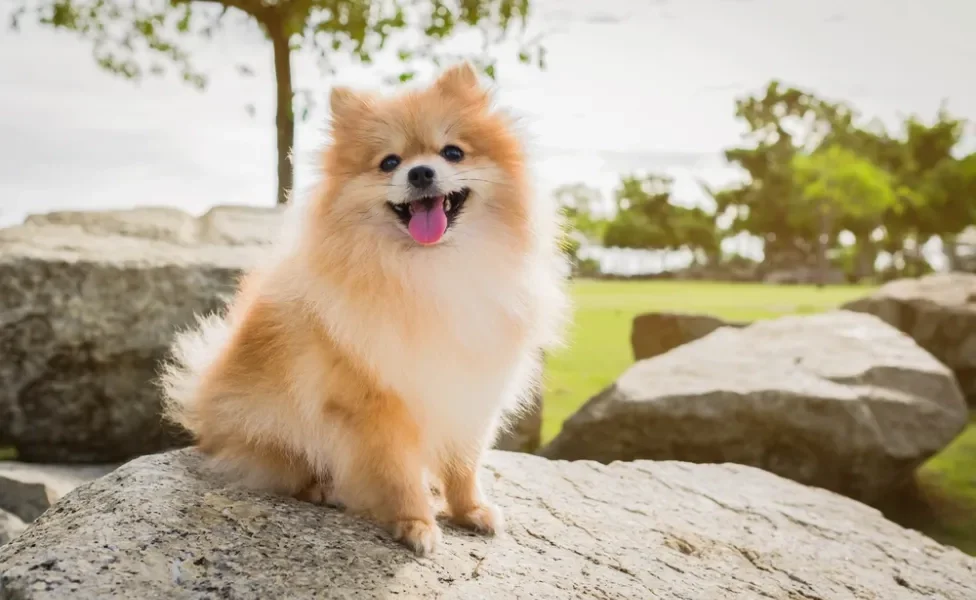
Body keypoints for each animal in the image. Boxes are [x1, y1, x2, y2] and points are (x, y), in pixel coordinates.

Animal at [158, 63, 572, 556]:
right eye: (389, 162)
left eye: (452, 152)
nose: (421, 172)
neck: (432, 269)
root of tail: (202, 406)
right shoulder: (375, 405)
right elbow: (397, 473)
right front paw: (416, 523)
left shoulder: (469, 390)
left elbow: (465, 461)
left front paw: (470, 509)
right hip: (268, 426)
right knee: (280, 469)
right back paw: (322, 488)